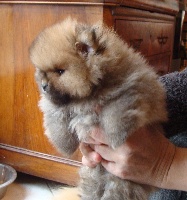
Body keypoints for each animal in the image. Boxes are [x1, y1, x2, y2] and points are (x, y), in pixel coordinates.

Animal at [29, 18, 168, 199]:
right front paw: (64, 145)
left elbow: (115, 111)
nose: (44, 86)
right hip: (93, 174)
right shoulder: (58, 105)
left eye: (60, 71)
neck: (89, 92)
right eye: (42, 72)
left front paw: (116, 138)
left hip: (122, 182)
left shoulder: (128, 89)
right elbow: (57, 120)